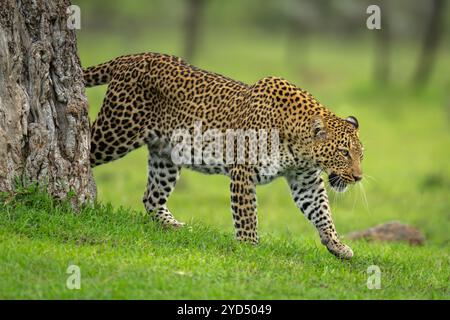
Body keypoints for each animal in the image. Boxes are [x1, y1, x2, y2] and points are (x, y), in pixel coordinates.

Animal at [84, 52, 364, 260]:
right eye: (343, 152)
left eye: (361, 155)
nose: (359, 177)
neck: (300, 148)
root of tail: (131, 57)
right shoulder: (244, 170)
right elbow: (247, 213)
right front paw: (249, 247)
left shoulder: (306, 181)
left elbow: (322, 211)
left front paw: (337, 246)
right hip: (116, 131)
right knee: (87, 145)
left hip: (165, 156)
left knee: (151, 198)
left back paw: (176, 227)